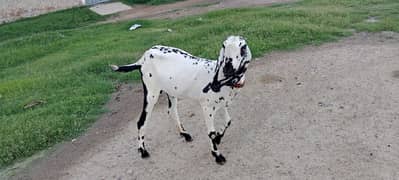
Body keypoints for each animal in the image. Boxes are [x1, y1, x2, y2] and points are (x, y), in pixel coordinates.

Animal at [111, 35, 252, 165]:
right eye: (224, 46)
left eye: (243, 47)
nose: (228, 68)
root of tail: (143, 58)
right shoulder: (207, 107)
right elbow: (211, 133)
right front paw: (217, 155)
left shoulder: (222, 104)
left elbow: (228, 121)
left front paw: (218, 138)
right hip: (151, 92)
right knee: (141, 122)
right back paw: (143, 151)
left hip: (171, 91)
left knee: (172, 111)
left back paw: (184, 134)